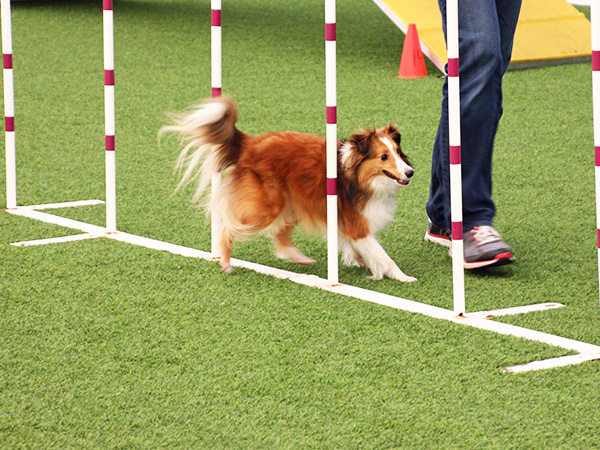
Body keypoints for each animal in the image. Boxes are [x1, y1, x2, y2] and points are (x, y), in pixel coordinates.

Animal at [161, 97, 418, 282]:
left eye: (398, 151)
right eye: (383, 156)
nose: (410, 172)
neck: (359, 175)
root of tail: (250, 143)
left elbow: (362, 250)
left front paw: (361, 260)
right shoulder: (359, 227)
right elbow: (383, 257)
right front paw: (403, 277)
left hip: (292, 202)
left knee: (280, 235)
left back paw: (300, 260)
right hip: (266, 207)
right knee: (229, 228)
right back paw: (225, 262)